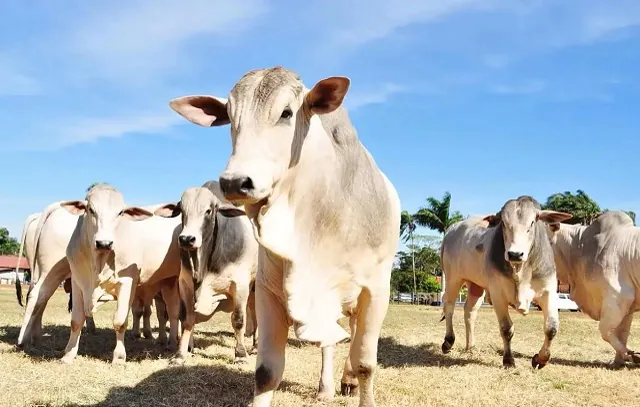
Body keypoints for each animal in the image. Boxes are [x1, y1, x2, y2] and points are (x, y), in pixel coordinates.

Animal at [58, 183, 181, 364]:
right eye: (90, 209)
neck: (99, 263)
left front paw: (119, 356)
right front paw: (68, 354)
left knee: (174, 313)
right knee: (171, 312)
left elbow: (120, 321)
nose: (104, 243)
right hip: (168, 283)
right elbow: (76, 321)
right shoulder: (77, 281)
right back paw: (170, 342)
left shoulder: (127, 282)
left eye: (120, 213)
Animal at [155, 181, 258, 364]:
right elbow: (187, 319)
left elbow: (238, 320)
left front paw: (240, 354)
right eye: (182, 210)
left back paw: (256, 347)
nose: (187, 239)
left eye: (209, 210)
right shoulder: (185, 283)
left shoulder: (240, 284)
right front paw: (180, 354)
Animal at [170, 66, 400, 407]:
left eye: (287, 113)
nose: (235, 182)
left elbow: (365, 363)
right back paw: (329, 386)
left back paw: (341, 382)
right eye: (229, 116)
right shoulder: (268, 290)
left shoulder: (376, 291)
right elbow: (266, 371)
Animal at [440, 197, 568, 370]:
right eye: (504, 224)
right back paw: (448, 341)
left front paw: (541, 359)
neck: (521, 270)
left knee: (470, 311)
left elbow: (551, 328)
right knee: (449, 306)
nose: (515, 254)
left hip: (476, 287)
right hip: (453, 278)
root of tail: (452, 229)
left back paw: (470, 346)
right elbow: (506, 329)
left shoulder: (548, 292)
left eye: (532, 222)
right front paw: (508, 360)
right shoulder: (498, 295)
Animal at [544, 212, 640, 364]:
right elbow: (623, 333)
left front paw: (631, 355)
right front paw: (619, 361)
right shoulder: (628, 307)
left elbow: (605, 331)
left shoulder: (617, 298)